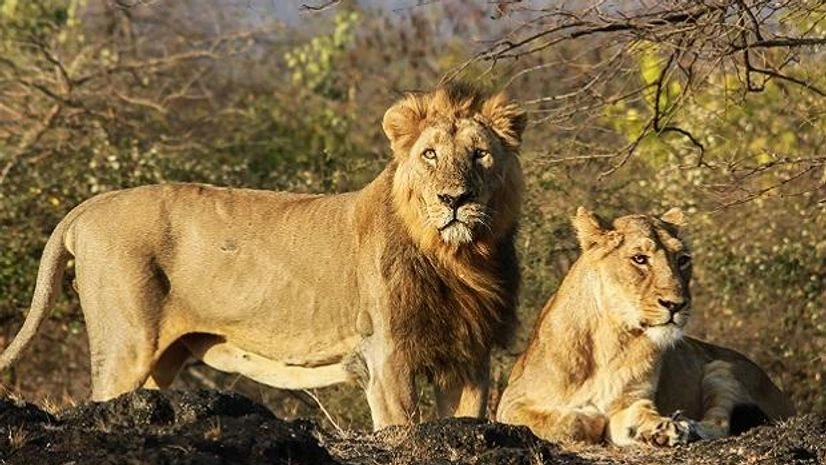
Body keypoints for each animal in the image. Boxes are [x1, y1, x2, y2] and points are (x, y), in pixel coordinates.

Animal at [0, 83, 527, 430]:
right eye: (430, 155)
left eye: (480, 154)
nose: (455, 199)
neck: (457, 258)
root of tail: (90, 206)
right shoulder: (385, 358)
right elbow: (401, 432)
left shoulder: (470, 358)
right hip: (125, 344)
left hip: (158, 364)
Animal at [496, 207, 795, 447]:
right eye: (640, 258)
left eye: (682, 259)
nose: (676, 304)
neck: (610, 339)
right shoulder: (511, 403)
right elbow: (566, 422)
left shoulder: (633, 398)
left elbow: (638, 412)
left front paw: (662, 428)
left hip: (722, 368)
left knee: (720, 424)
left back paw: (689, 427)